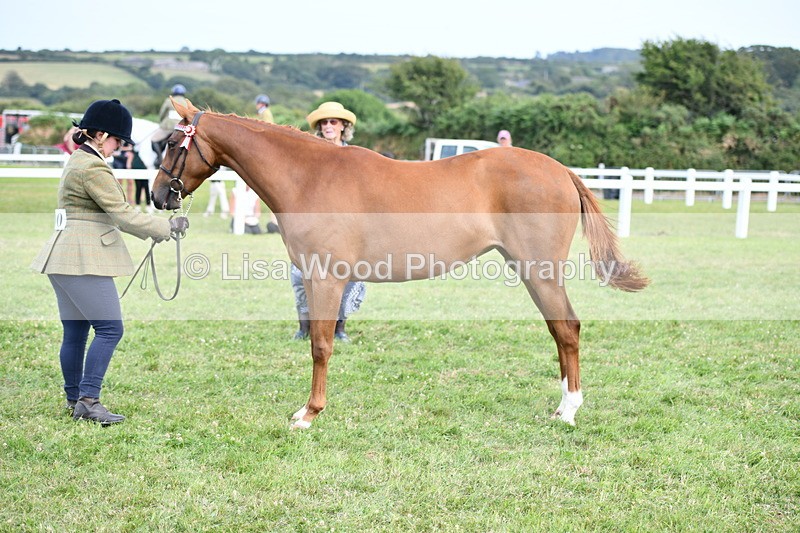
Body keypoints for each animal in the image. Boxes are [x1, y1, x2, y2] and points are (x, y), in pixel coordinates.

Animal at [151, 98, 649, 429]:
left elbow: (321, 345)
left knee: (566, 329)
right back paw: (564, 405)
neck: (310, 176)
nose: (157, 195)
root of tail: (561, 170)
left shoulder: (326, 277)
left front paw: (308, 413)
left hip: (539, 270)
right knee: (559, 330)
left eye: (173, 143)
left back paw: (569, 410)